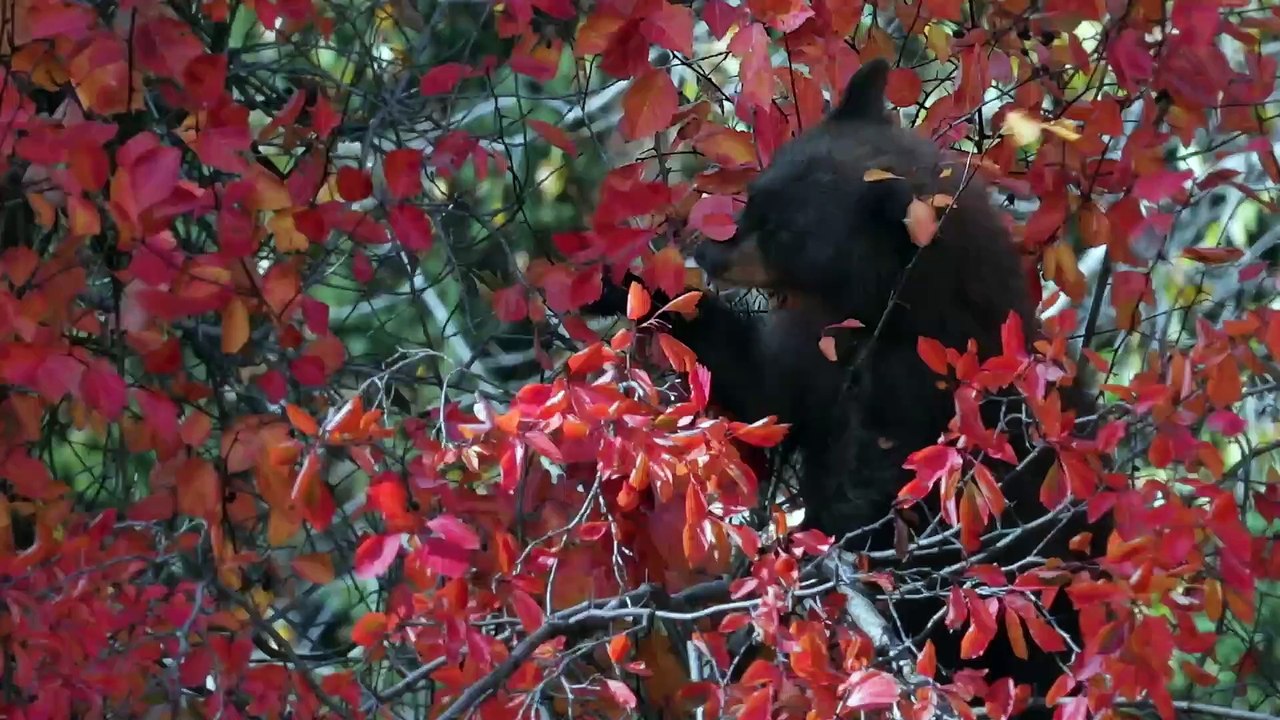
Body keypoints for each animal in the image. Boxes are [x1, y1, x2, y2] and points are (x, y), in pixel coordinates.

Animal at [582, 58, 1113, 717]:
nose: (707, 250)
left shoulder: (929, 394)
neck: (886, 317)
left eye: (783, 232)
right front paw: (619, 285)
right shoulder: (820, 350)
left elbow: (885, 496)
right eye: (754, 200)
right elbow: (759, 395)